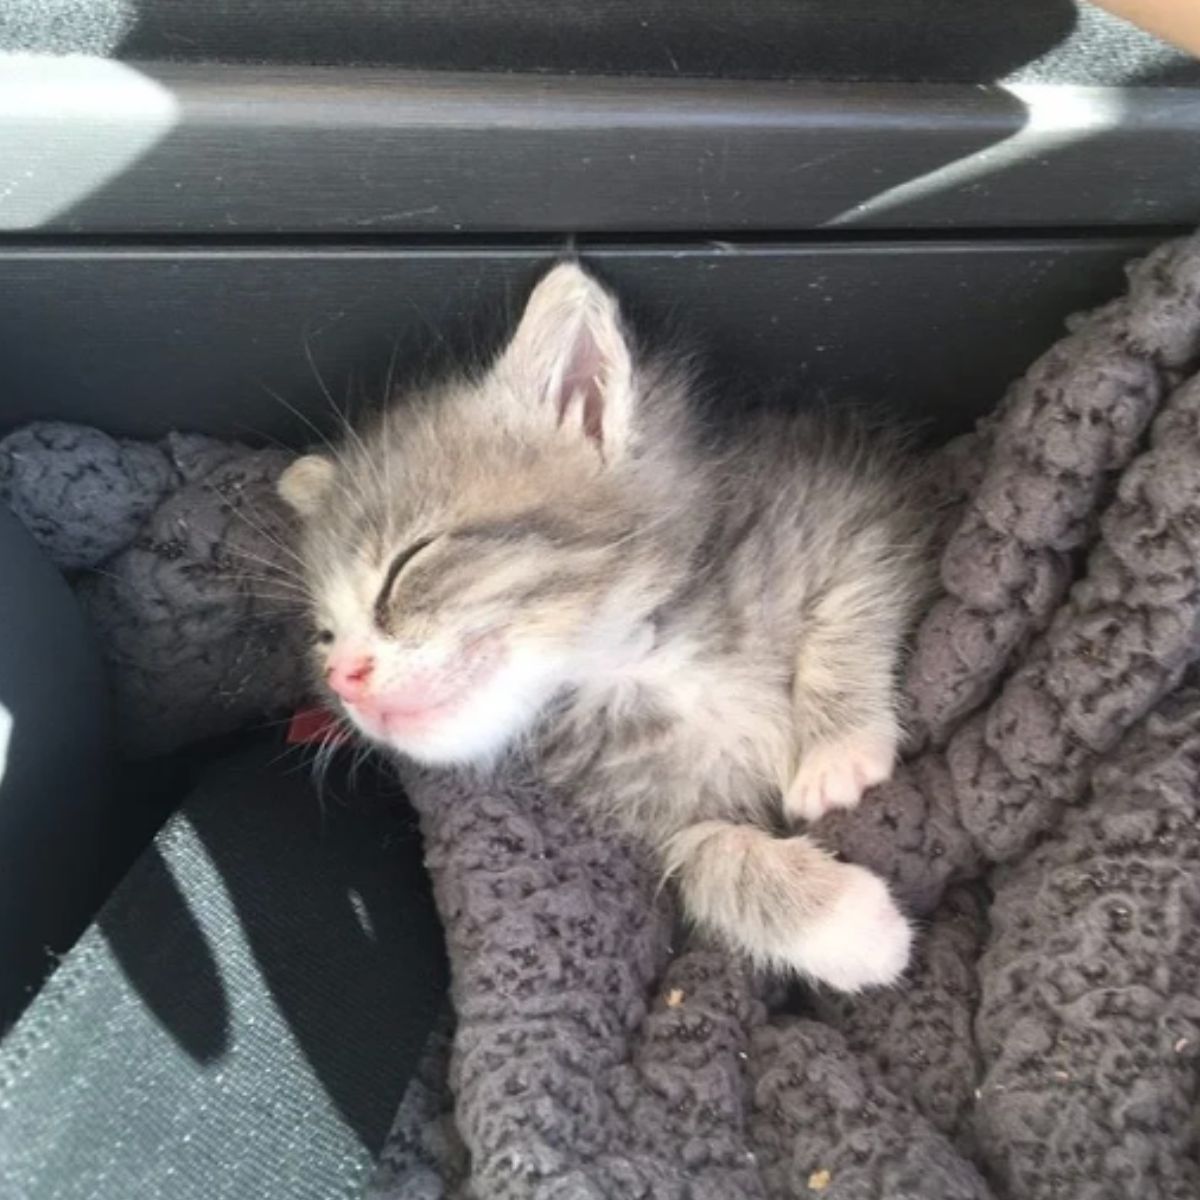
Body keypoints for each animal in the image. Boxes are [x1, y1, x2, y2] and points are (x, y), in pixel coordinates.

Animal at [278, 265, 926, 993]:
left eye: (407, 564)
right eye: (324, 635)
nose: (343, 677)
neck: (633, 658)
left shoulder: (853, 506)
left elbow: (850, 605)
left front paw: (838, 752)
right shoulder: (649, 815)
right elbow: (705, 856)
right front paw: (851, 927)